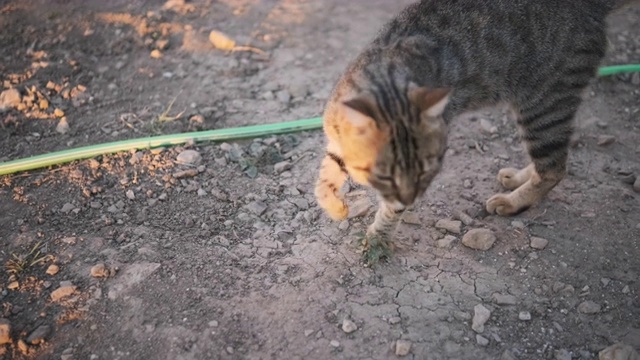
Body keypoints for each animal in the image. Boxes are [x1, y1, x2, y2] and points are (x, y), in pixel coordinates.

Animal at [312, 0, 632, 248]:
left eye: (426, 172)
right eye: (387, 176)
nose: (411, 198)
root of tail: (589, 6)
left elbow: (389, 213)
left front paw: (377, 238)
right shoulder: (335, 142)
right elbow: (326, 178)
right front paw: (336, 207)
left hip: (544, 104)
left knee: (555, 167)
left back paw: (513, 201)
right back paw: (518, 176)